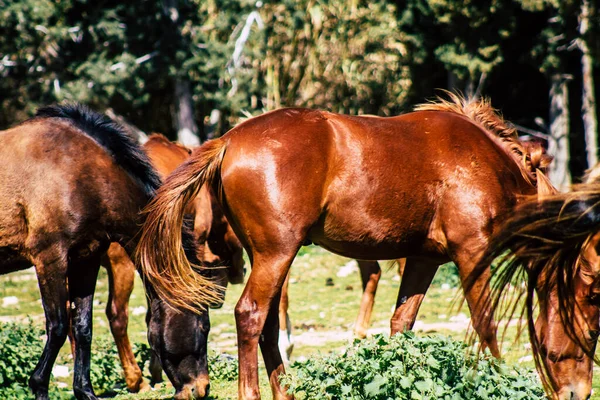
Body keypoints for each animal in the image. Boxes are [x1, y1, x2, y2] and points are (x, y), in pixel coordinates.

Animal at [0, 105, 219, 400]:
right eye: (204, 326)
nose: (202, 388)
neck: (78, 173)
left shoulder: (86, 259)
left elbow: (83, 326)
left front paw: (85, 391)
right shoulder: (50, 259)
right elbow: (57, 326)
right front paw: (39, 386)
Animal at [139, 94, 552, 400]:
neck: (487, 162)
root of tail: (228, 140)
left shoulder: (423, 259)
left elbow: (402, 324)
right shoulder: (472, 252)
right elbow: (485, 324)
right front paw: (500, 381)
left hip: (270, 258)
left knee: (269, 323)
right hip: (277, 254)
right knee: (251, 315)